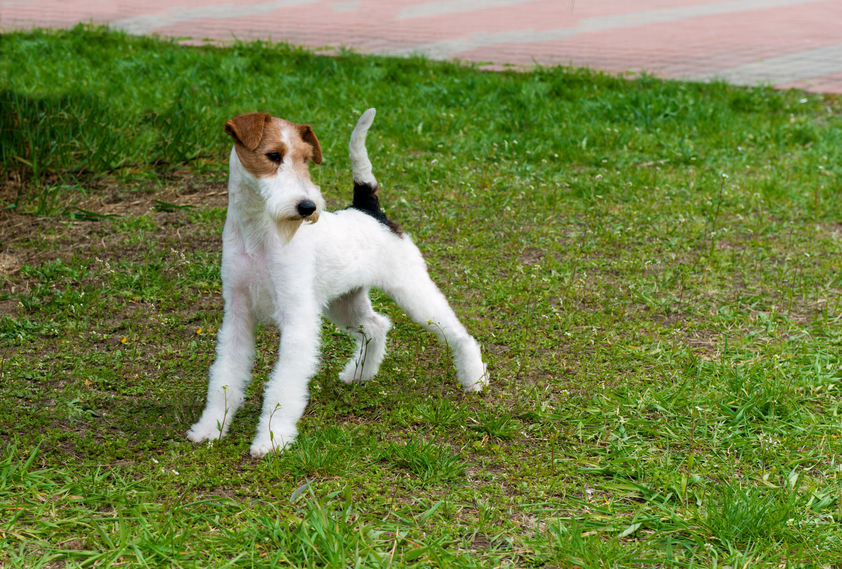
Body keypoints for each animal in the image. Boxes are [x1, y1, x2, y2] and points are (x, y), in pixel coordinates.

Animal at [184, 108, 486, 458]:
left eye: (305, 159)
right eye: (273, 156)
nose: (307, 207)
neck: (257, 233)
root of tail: (370, 210)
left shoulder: (297, 318)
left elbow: (283, 386)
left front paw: (272, 439)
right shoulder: (237, 315)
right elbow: (225, 376)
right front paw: (209, 428)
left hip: (412, 291)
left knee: (459, 334)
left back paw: (475, 380)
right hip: (343, 302)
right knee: (376, 326)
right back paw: (358, 374)